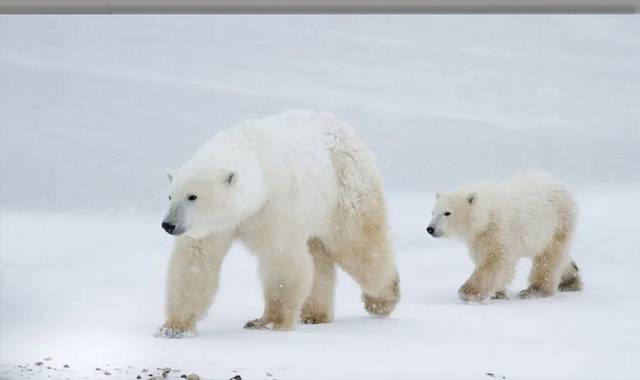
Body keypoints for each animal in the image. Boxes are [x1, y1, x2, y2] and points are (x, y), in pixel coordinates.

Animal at [158, 109, 398, 336]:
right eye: (170, 196)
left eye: (192, 196)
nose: (168, 225)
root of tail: (349, 130)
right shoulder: (212, 227)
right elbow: (195, 261)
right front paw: (174, 327)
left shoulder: (276, 204)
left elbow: (281, 258)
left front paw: (269, 322)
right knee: (317, 256)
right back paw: (315, 314)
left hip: (345, 191)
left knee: (359, 248)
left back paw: (382, 300)